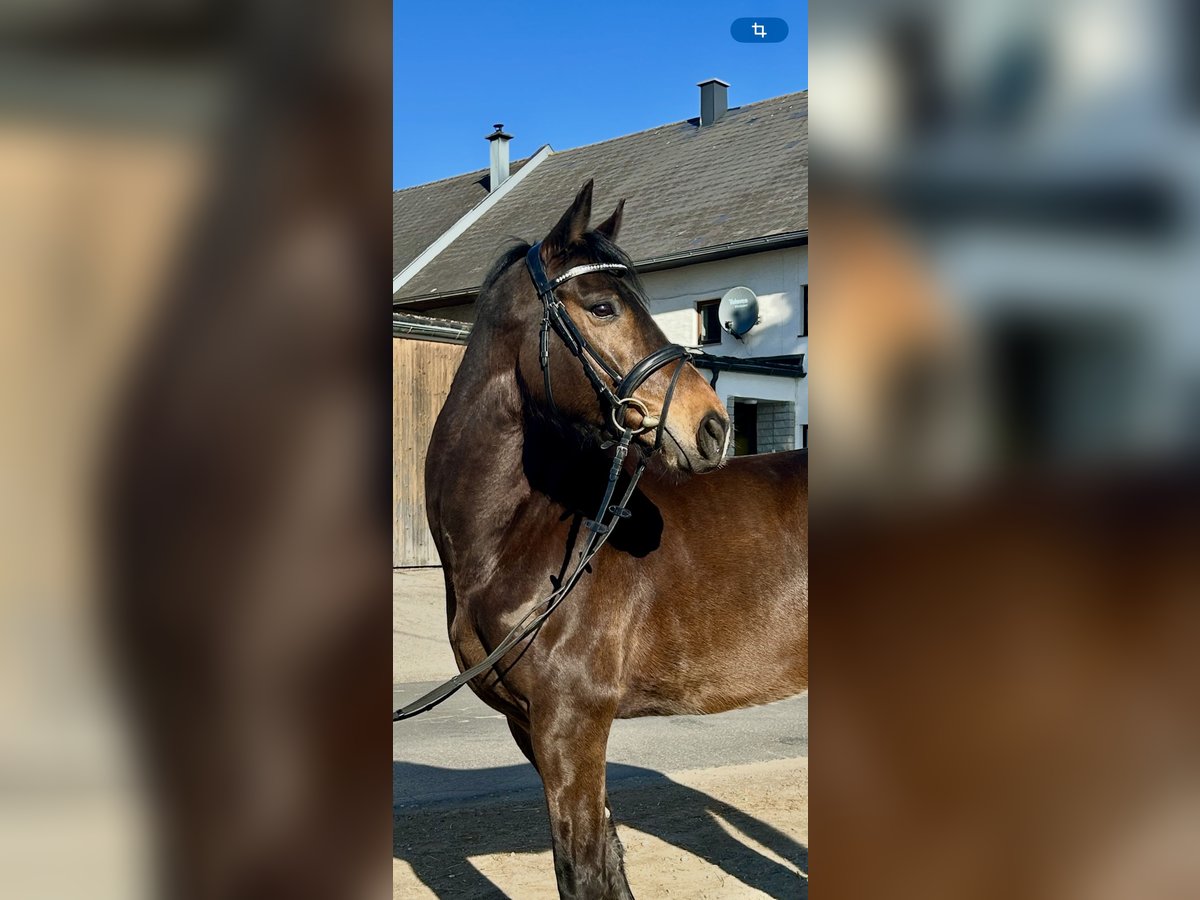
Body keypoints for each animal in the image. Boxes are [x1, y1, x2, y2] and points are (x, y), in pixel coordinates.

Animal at [422, 180, 806, 897]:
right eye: (601, 307)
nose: (712, 427)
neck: (522, 532)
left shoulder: (572, 727)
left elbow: (582, 870)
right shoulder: (535, 730)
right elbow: (603, 863)